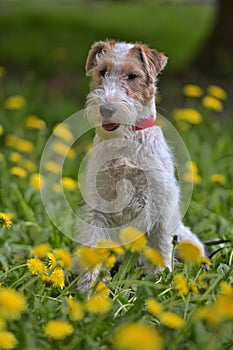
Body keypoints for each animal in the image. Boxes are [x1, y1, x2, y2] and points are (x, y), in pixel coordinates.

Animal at [79, 40, 204, 276]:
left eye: (132, 76)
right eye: (102, 72)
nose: (106, 109)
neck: (126, 139)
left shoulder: (160, 204)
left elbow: (161, 247)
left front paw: (159, 277)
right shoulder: (98, 203)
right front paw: (88, 284)